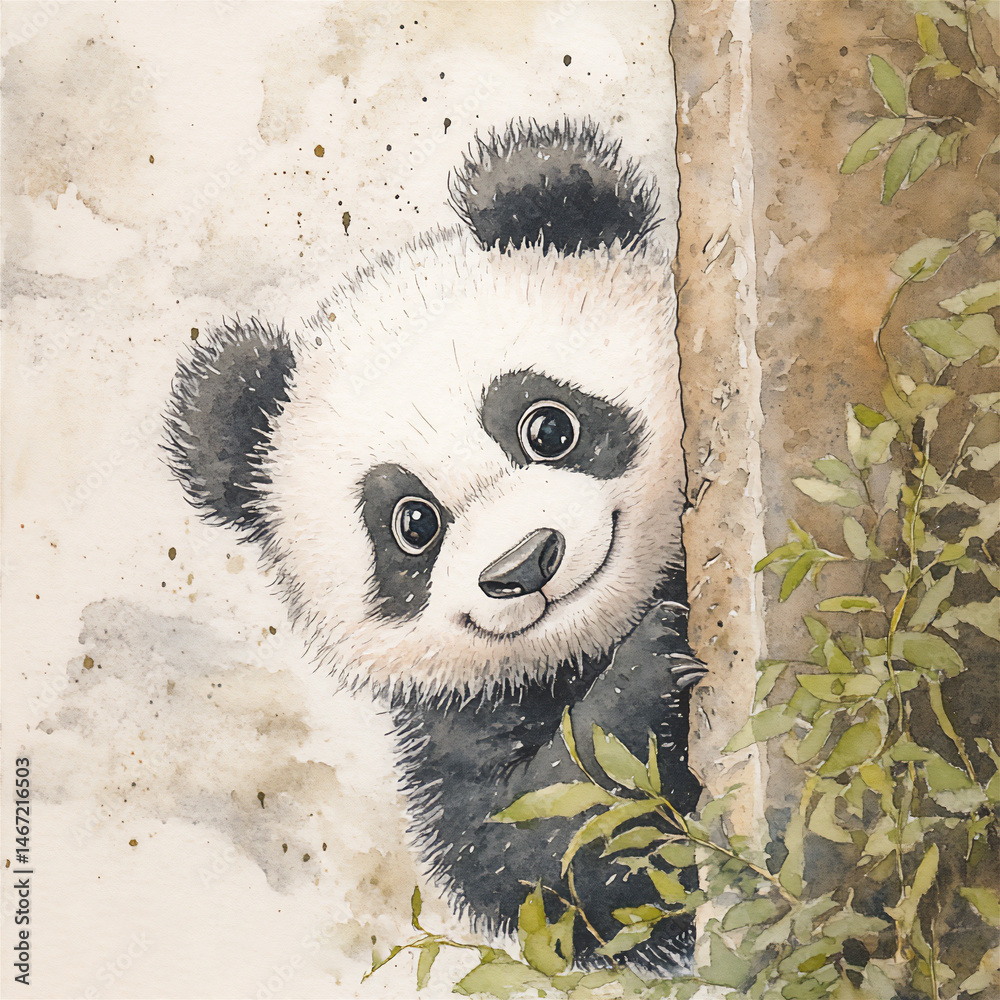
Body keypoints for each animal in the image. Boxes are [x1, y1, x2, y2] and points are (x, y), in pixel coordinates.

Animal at [166, 118, 705, 976]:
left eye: (548, 426)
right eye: (413, 525)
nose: (524, 563)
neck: (589, 637)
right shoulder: (455, 725)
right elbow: (547, 859)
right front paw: (650, 666)